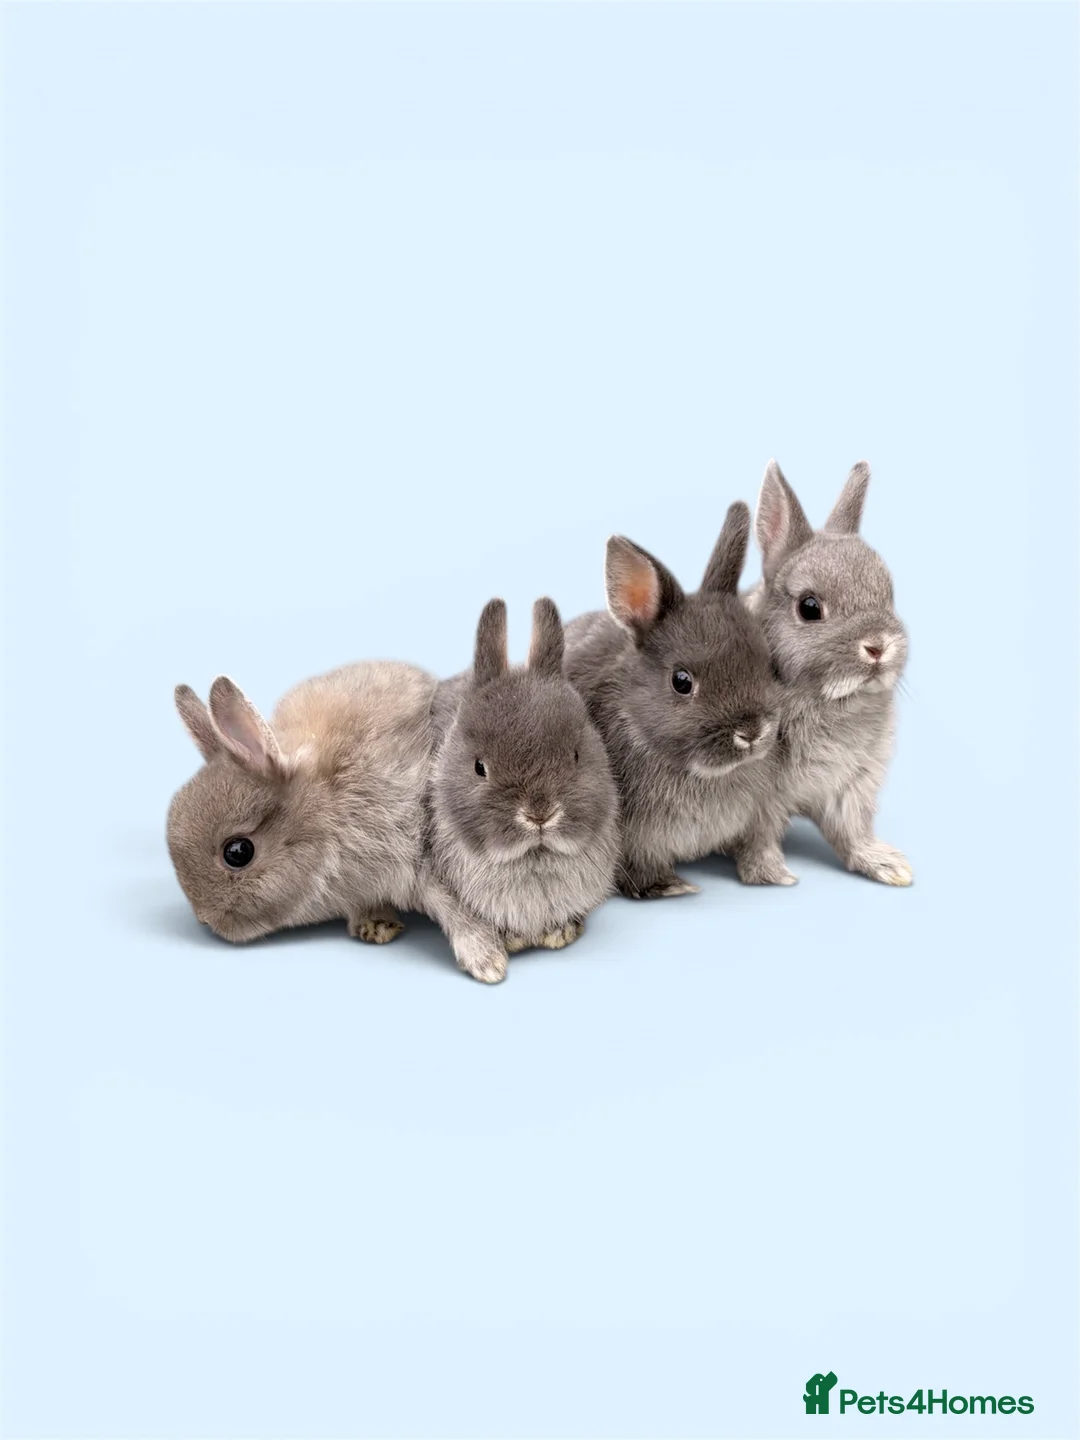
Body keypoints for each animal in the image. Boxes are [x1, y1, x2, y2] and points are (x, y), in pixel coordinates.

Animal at [419, 597, 620, 984]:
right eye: (479, 767)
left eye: (576, 755)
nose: (540, 814)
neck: (531, 861)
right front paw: (493, 961)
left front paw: (560, 933)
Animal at [563, 502, 793, 898]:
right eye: (681, 682)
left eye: (769, 664)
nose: (751, 732)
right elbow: (640, 870)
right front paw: (672, 887)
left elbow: (756, 845)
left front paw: (775, 874)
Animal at [745, 459, 912, 886]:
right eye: (809, 607)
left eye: (888, 595)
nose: (878, 645)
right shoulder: (756, 797)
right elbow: (758, 836)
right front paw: (772, 874)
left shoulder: (850, 788)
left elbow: (852, 831)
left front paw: (887, 864)